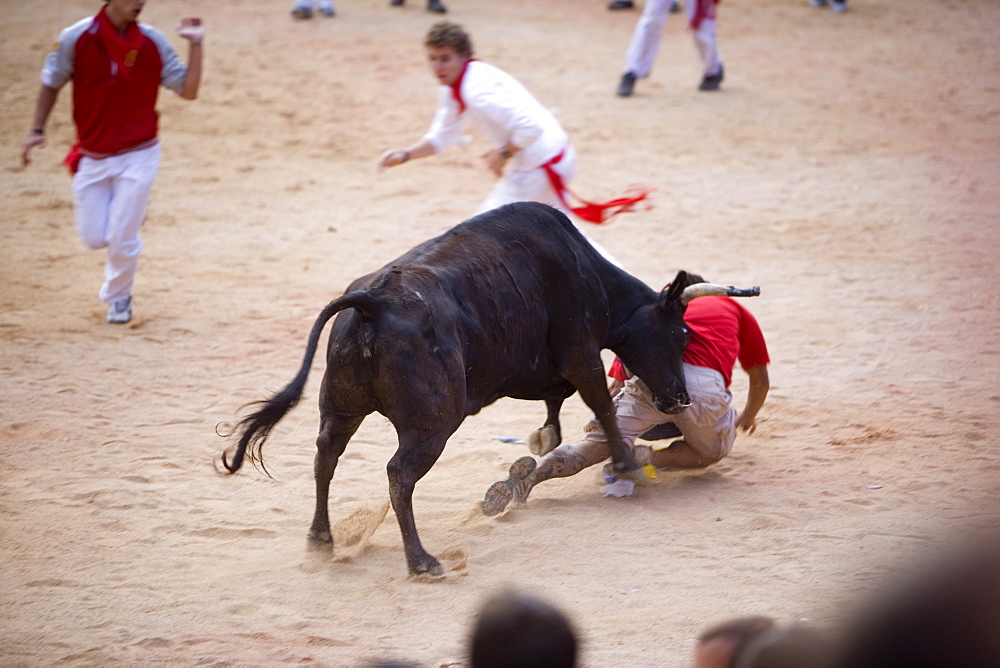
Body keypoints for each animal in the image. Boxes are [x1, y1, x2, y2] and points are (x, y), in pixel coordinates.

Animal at [221, 202, 756, 576]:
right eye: (682, 333)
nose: (679, 398)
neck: (589, 272)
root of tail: (372, 301)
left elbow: (557, 409)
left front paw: (541, 445)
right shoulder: (581, 352)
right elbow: (601, 405)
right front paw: (623, 461)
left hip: (340, 408)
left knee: (325, 457)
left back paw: (321, 540)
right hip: (433, 424)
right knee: (398, 474)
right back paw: (422, 561)